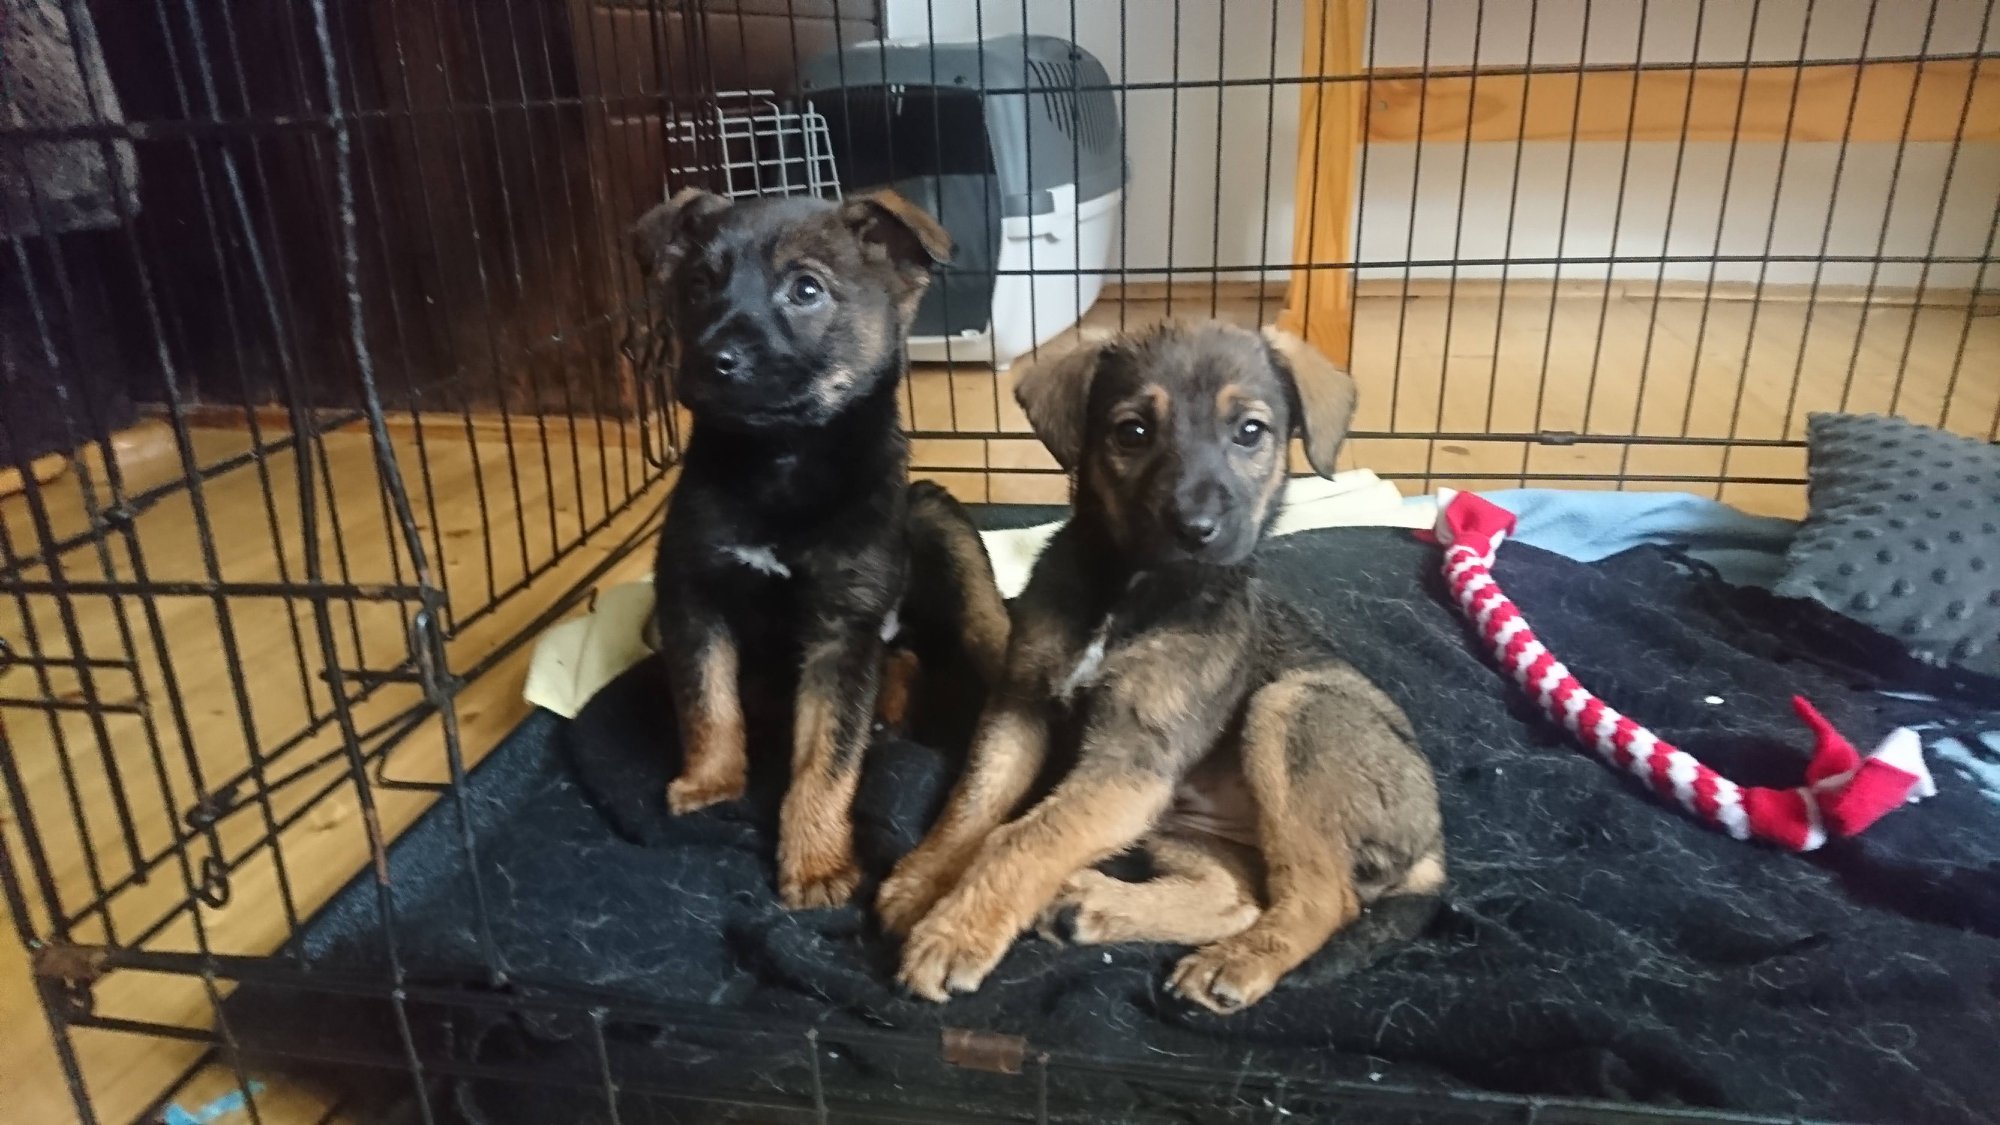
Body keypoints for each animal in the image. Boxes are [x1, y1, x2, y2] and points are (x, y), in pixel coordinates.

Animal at [633, 188, 1008, 910]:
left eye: (806, 289)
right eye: (697, 287)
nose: (712, 360)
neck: (780, 460)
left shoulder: (843, 629)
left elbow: (827, 758)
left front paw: (815, 862)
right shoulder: (691, 593)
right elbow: (707, 700)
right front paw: (710, 782)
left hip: (938, 523)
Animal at [876, 320, 1445, 1013]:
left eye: (1250, 431)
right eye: (1133, 431)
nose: (1195, 528)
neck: (1132, 596)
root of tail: (1434, 844)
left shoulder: (1132, 761)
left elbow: (1021, 837)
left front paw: (955, 933)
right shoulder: (1021, 705)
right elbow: (975, 802)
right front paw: (922, 884)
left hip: (1289, 708)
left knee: (1323, 900)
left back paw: (1235, 962)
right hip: (1183, 823)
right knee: (1240, 897)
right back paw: (1088, 906)